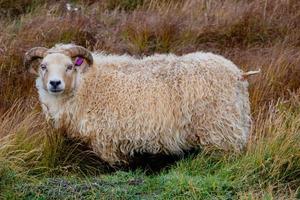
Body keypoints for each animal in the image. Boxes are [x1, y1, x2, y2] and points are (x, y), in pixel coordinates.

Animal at [24, 43, 258, 166]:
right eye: (43, 66)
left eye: (70, 66)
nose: (55, 83)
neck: (87, 85)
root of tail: (237, 73)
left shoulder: (106, 140)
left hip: (220, 128)